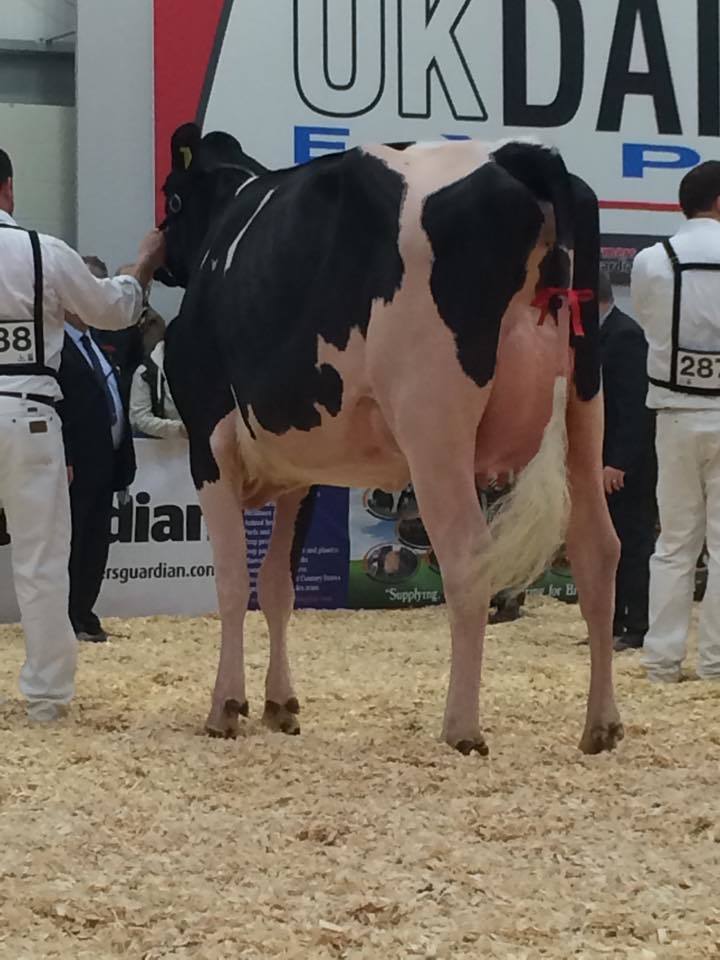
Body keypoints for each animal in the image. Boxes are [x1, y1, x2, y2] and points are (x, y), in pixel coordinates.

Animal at [156, 122, 623, 757]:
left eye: (172, 198)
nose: (158, 263)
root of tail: (521, 155)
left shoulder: (209, 443)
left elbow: (232, 582)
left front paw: (226, 707)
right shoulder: (299, 474)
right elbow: (278, 585)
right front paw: (281, 705)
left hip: (434, 421)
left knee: (467, 556)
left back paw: (462, 728)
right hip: (584, 407)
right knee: (598, 550)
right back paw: (602, 725)